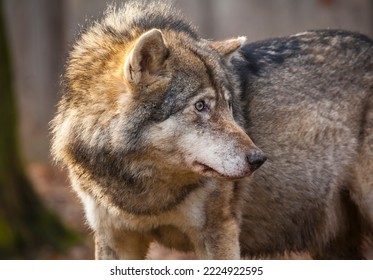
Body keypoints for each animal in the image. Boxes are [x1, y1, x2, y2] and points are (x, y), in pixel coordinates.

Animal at [50, 1, 372, 260]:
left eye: (229, 105)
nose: (258, 159)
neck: (143, 193)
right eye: (201, 106)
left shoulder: (218, 234)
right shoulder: (116, 239)